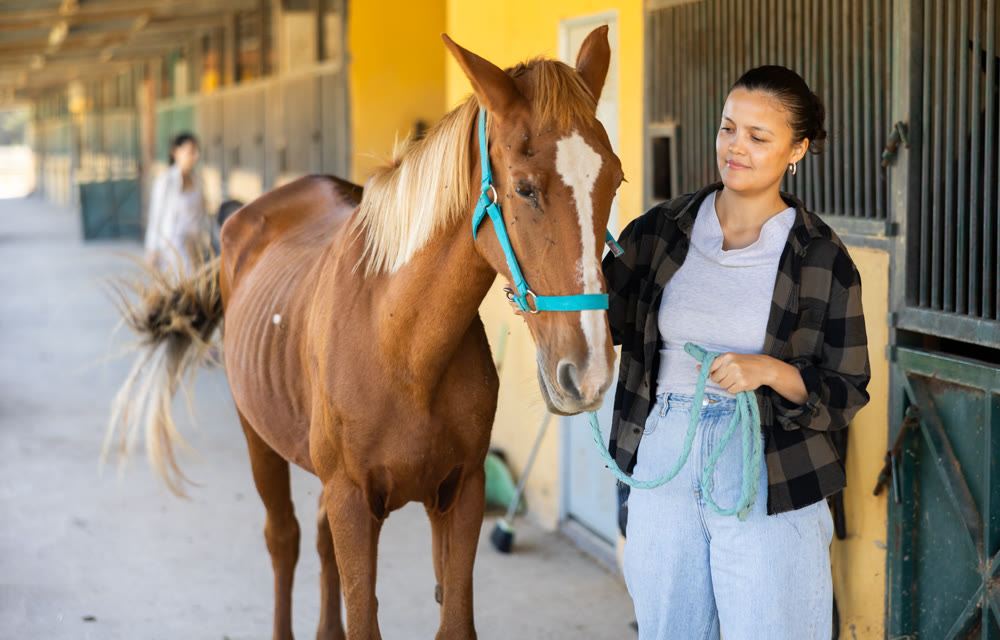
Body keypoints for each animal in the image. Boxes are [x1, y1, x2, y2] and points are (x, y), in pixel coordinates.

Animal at [105, 27, 622, 640]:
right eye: (524, 189)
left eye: (615, 179)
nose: (588, 372)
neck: (402, 346)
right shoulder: (353, 500)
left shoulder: (460, 495)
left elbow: (452, 619)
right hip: (259, 439)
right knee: (284, 539)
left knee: (319, 543)